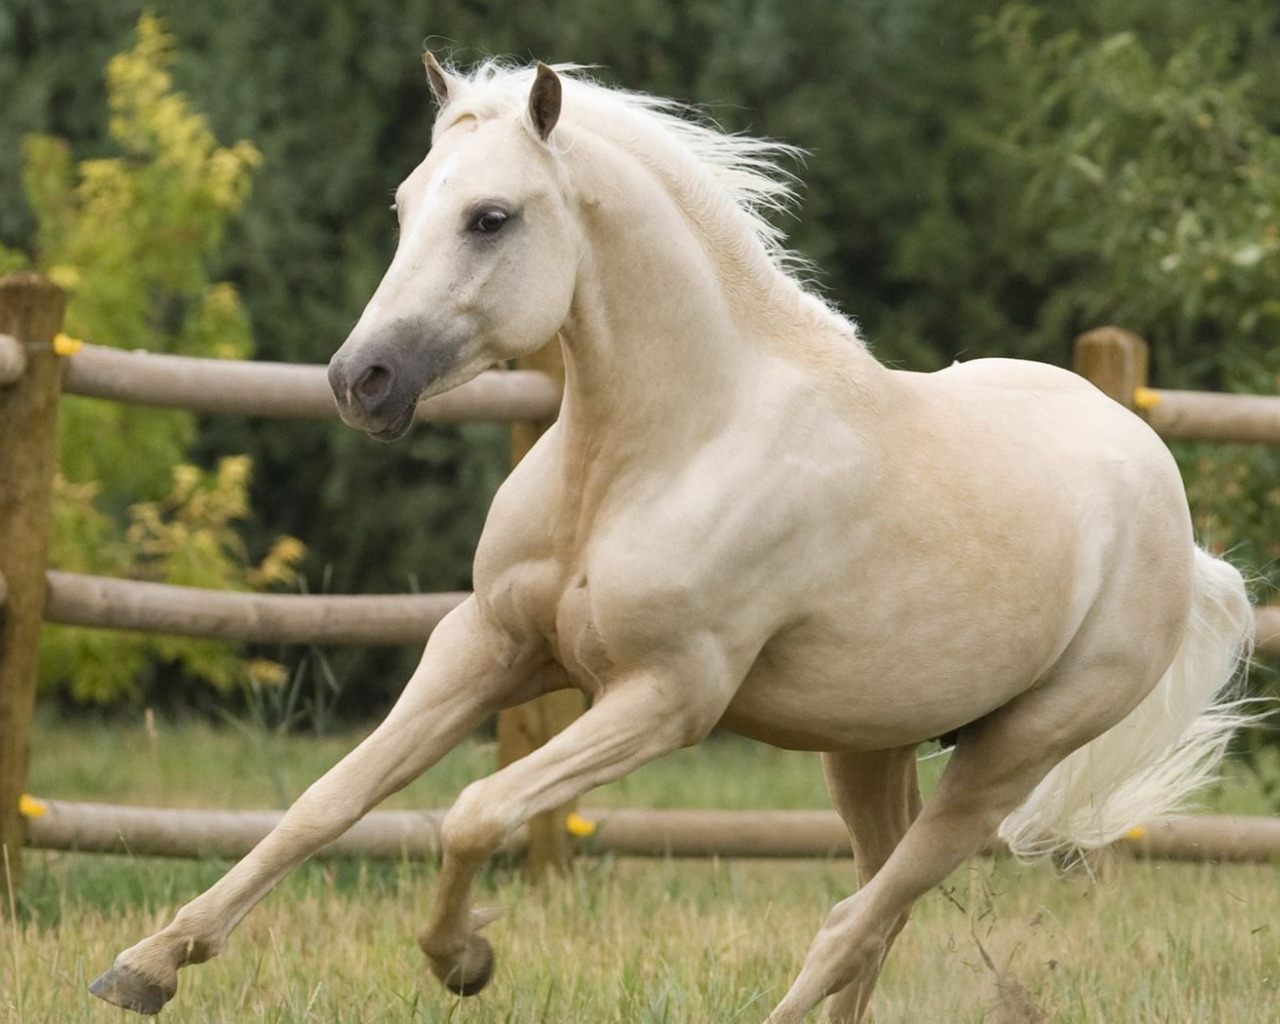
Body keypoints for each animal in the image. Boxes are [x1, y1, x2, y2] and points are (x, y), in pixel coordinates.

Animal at [94, 57, 1254, 1024]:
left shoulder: (664, 697)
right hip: (867, 744)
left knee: (854, 920)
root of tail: (1171, 513)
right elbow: (325, 802)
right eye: (404, 206)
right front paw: (146, 966)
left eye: (490, 217)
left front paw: (463, 960)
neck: (653, 454)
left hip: (1013, 755)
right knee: (876, 910)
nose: (361, 381)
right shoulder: (486, 647)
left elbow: (473, 810)